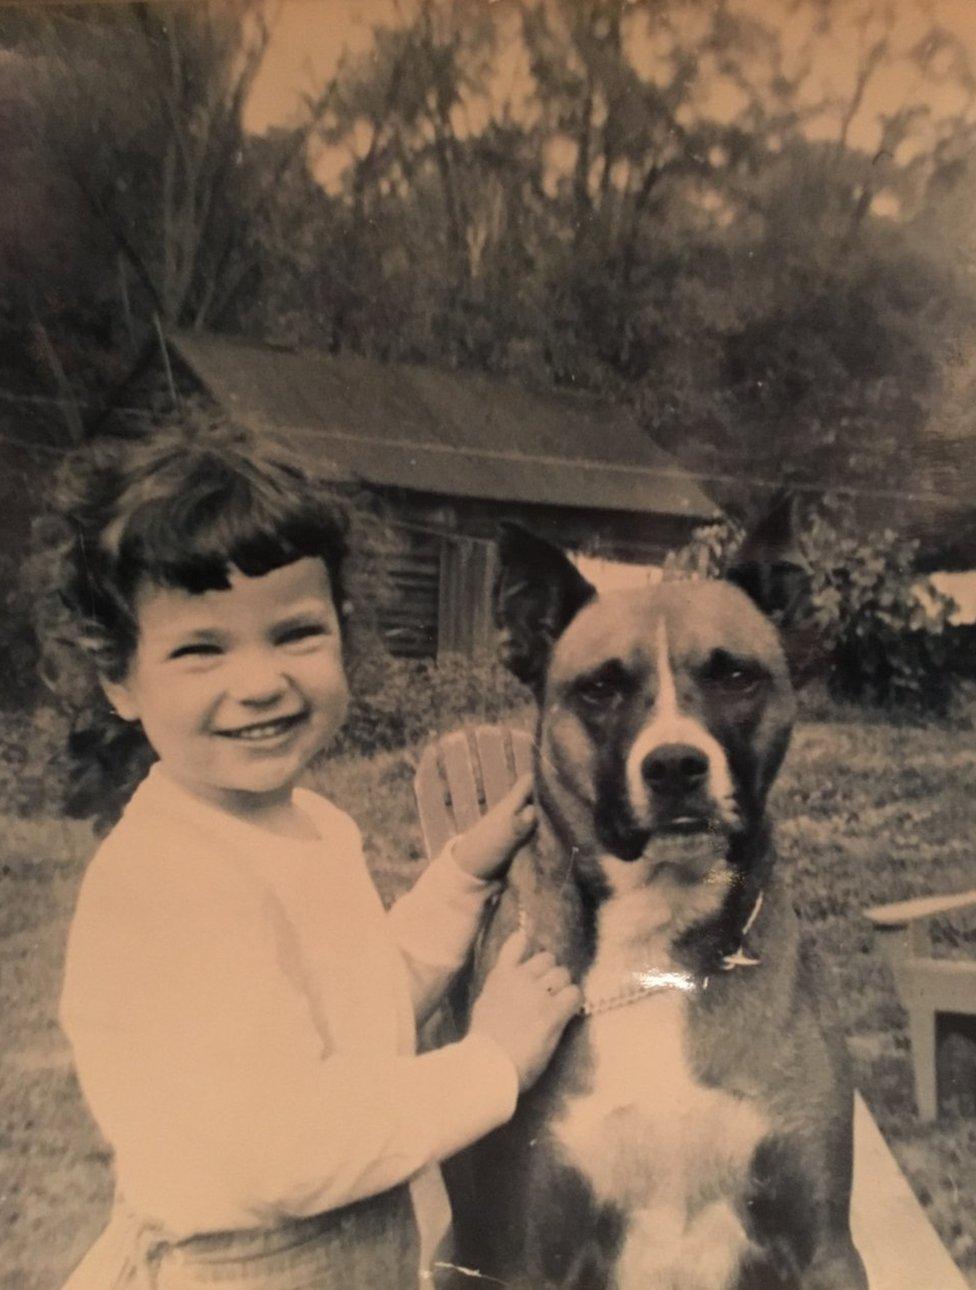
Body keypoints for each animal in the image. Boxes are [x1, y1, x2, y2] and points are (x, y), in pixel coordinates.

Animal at [446, 523, 866, 1290]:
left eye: (735, 676)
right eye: (601, 687)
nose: (674, 766)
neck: (655, 954)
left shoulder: (823, 1245)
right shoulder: (524, 1256)